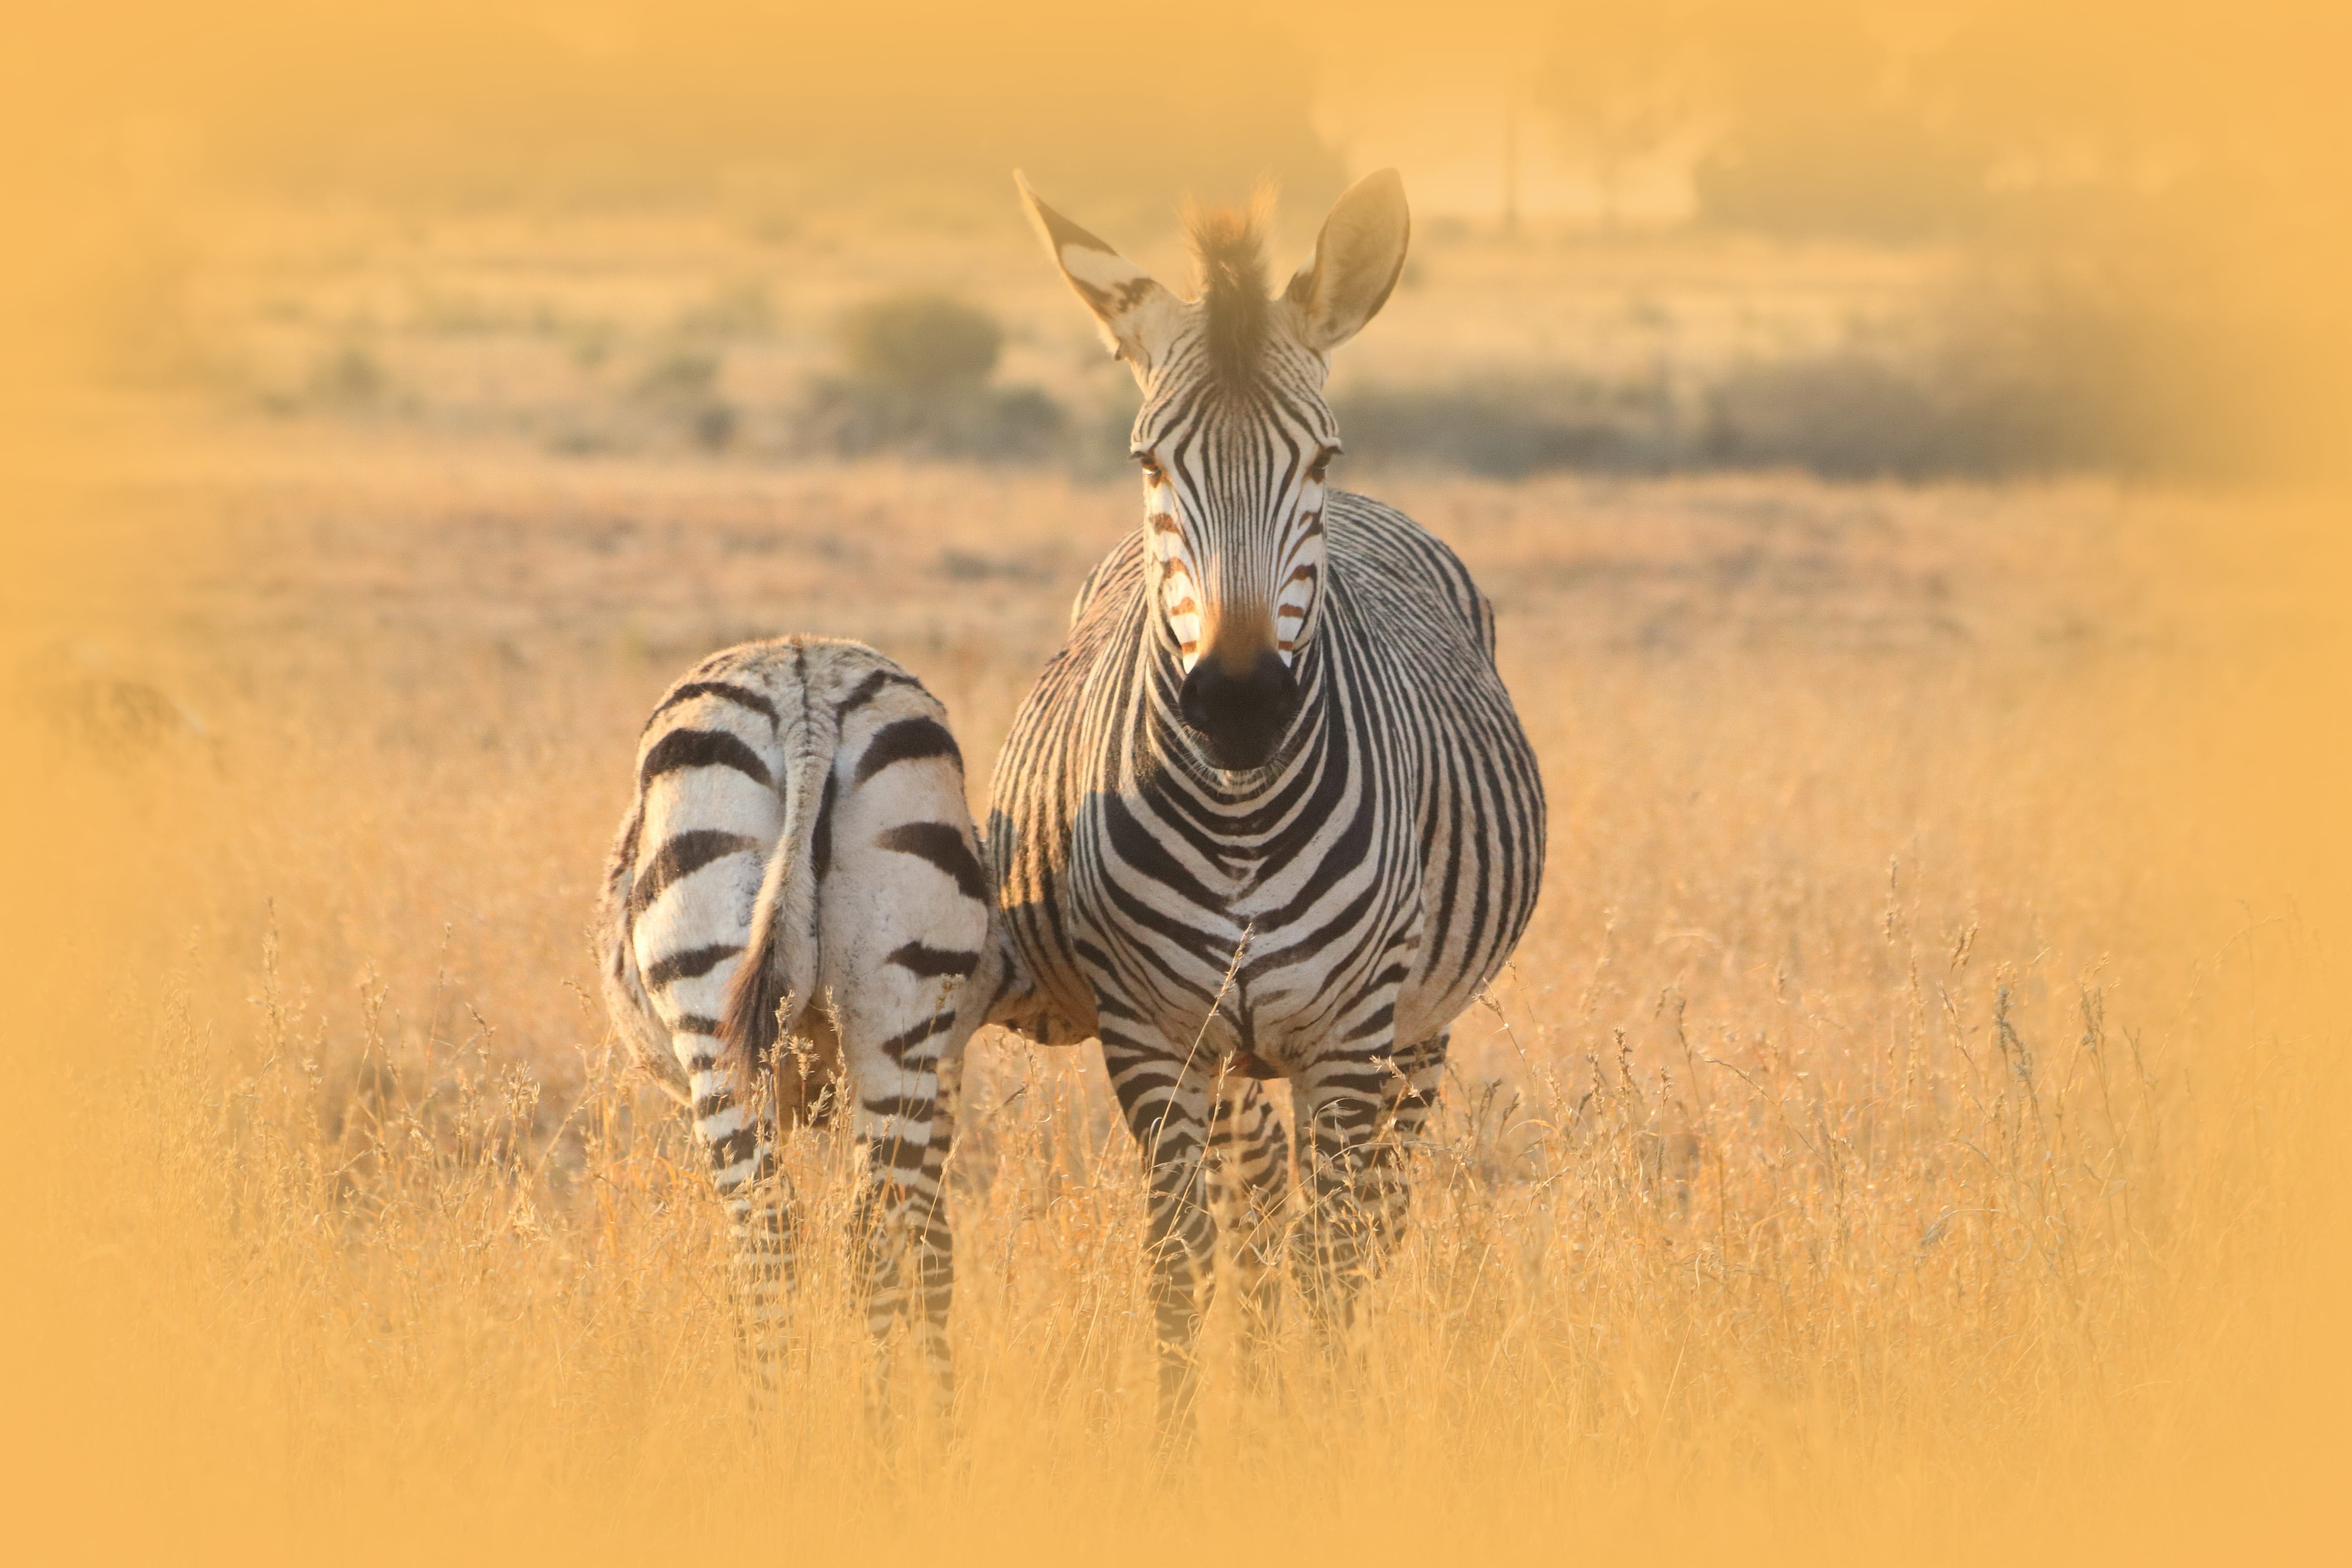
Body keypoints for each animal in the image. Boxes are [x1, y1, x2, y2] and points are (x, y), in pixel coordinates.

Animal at [600, 637, 996, 1415]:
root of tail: (805, 686)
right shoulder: (944, 1074)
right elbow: (932, 1252)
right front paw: (941, 1418)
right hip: (898, 1007)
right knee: (873, 1232)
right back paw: (874, 1431)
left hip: (714, 1028)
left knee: (766, 1231)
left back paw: (776, 1425)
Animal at [986, 170, 1547, 1442]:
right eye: (1149, 462)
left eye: (1319, 458)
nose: (1239, 705)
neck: (1242, 815)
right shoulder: (1155, 1034)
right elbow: (1183, 1258)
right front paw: (1194, 1441)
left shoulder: (1350, 1032)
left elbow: (1333, 1262)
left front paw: (1321, 1437)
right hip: (1238, 1054)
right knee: (1250, 1218)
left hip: (1416, 1032)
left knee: (1373, 1219)